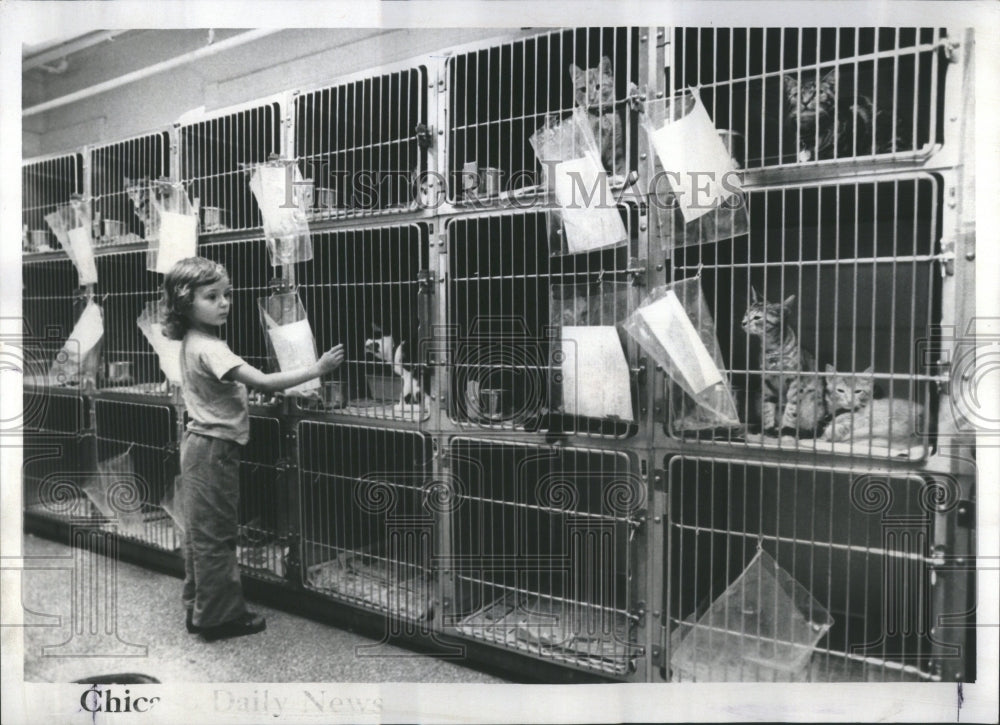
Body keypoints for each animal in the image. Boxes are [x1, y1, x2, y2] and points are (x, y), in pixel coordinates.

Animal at [740, 288, 816, 436]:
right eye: (746, 313)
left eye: (757, 318)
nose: (743, 322)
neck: (772, 349)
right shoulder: (767, 382)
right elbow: (768, 407)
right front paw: (768, 428)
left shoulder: (794, 381)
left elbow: (791, 407)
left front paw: (787, 428)